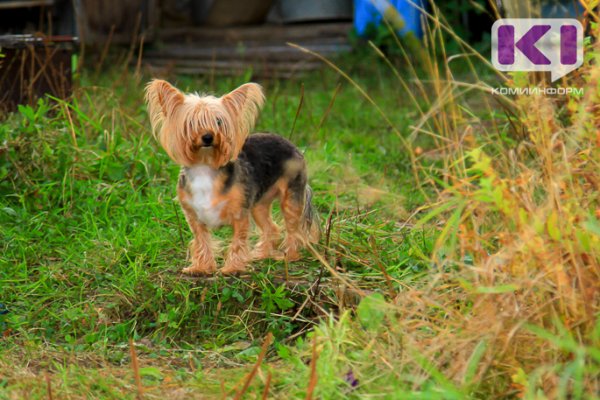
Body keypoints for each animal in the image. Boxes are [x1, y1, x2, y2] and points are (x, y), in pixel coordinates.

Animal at [145, 81, 318, 276]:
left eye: (219, 122)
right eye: (191, 123)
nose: (208, 137)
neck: (205, 166)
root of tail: (293, 145)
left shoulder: (240, 214)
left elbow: (238, 242)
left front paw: (233, 268)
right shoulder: (194, 217)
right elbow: (202, 240)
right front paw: (201, 267)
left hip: (291, 198)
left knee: (294, 228)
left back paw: (289, 255)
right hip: (259, 204)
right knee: (271, 227)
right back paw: (261, 254)